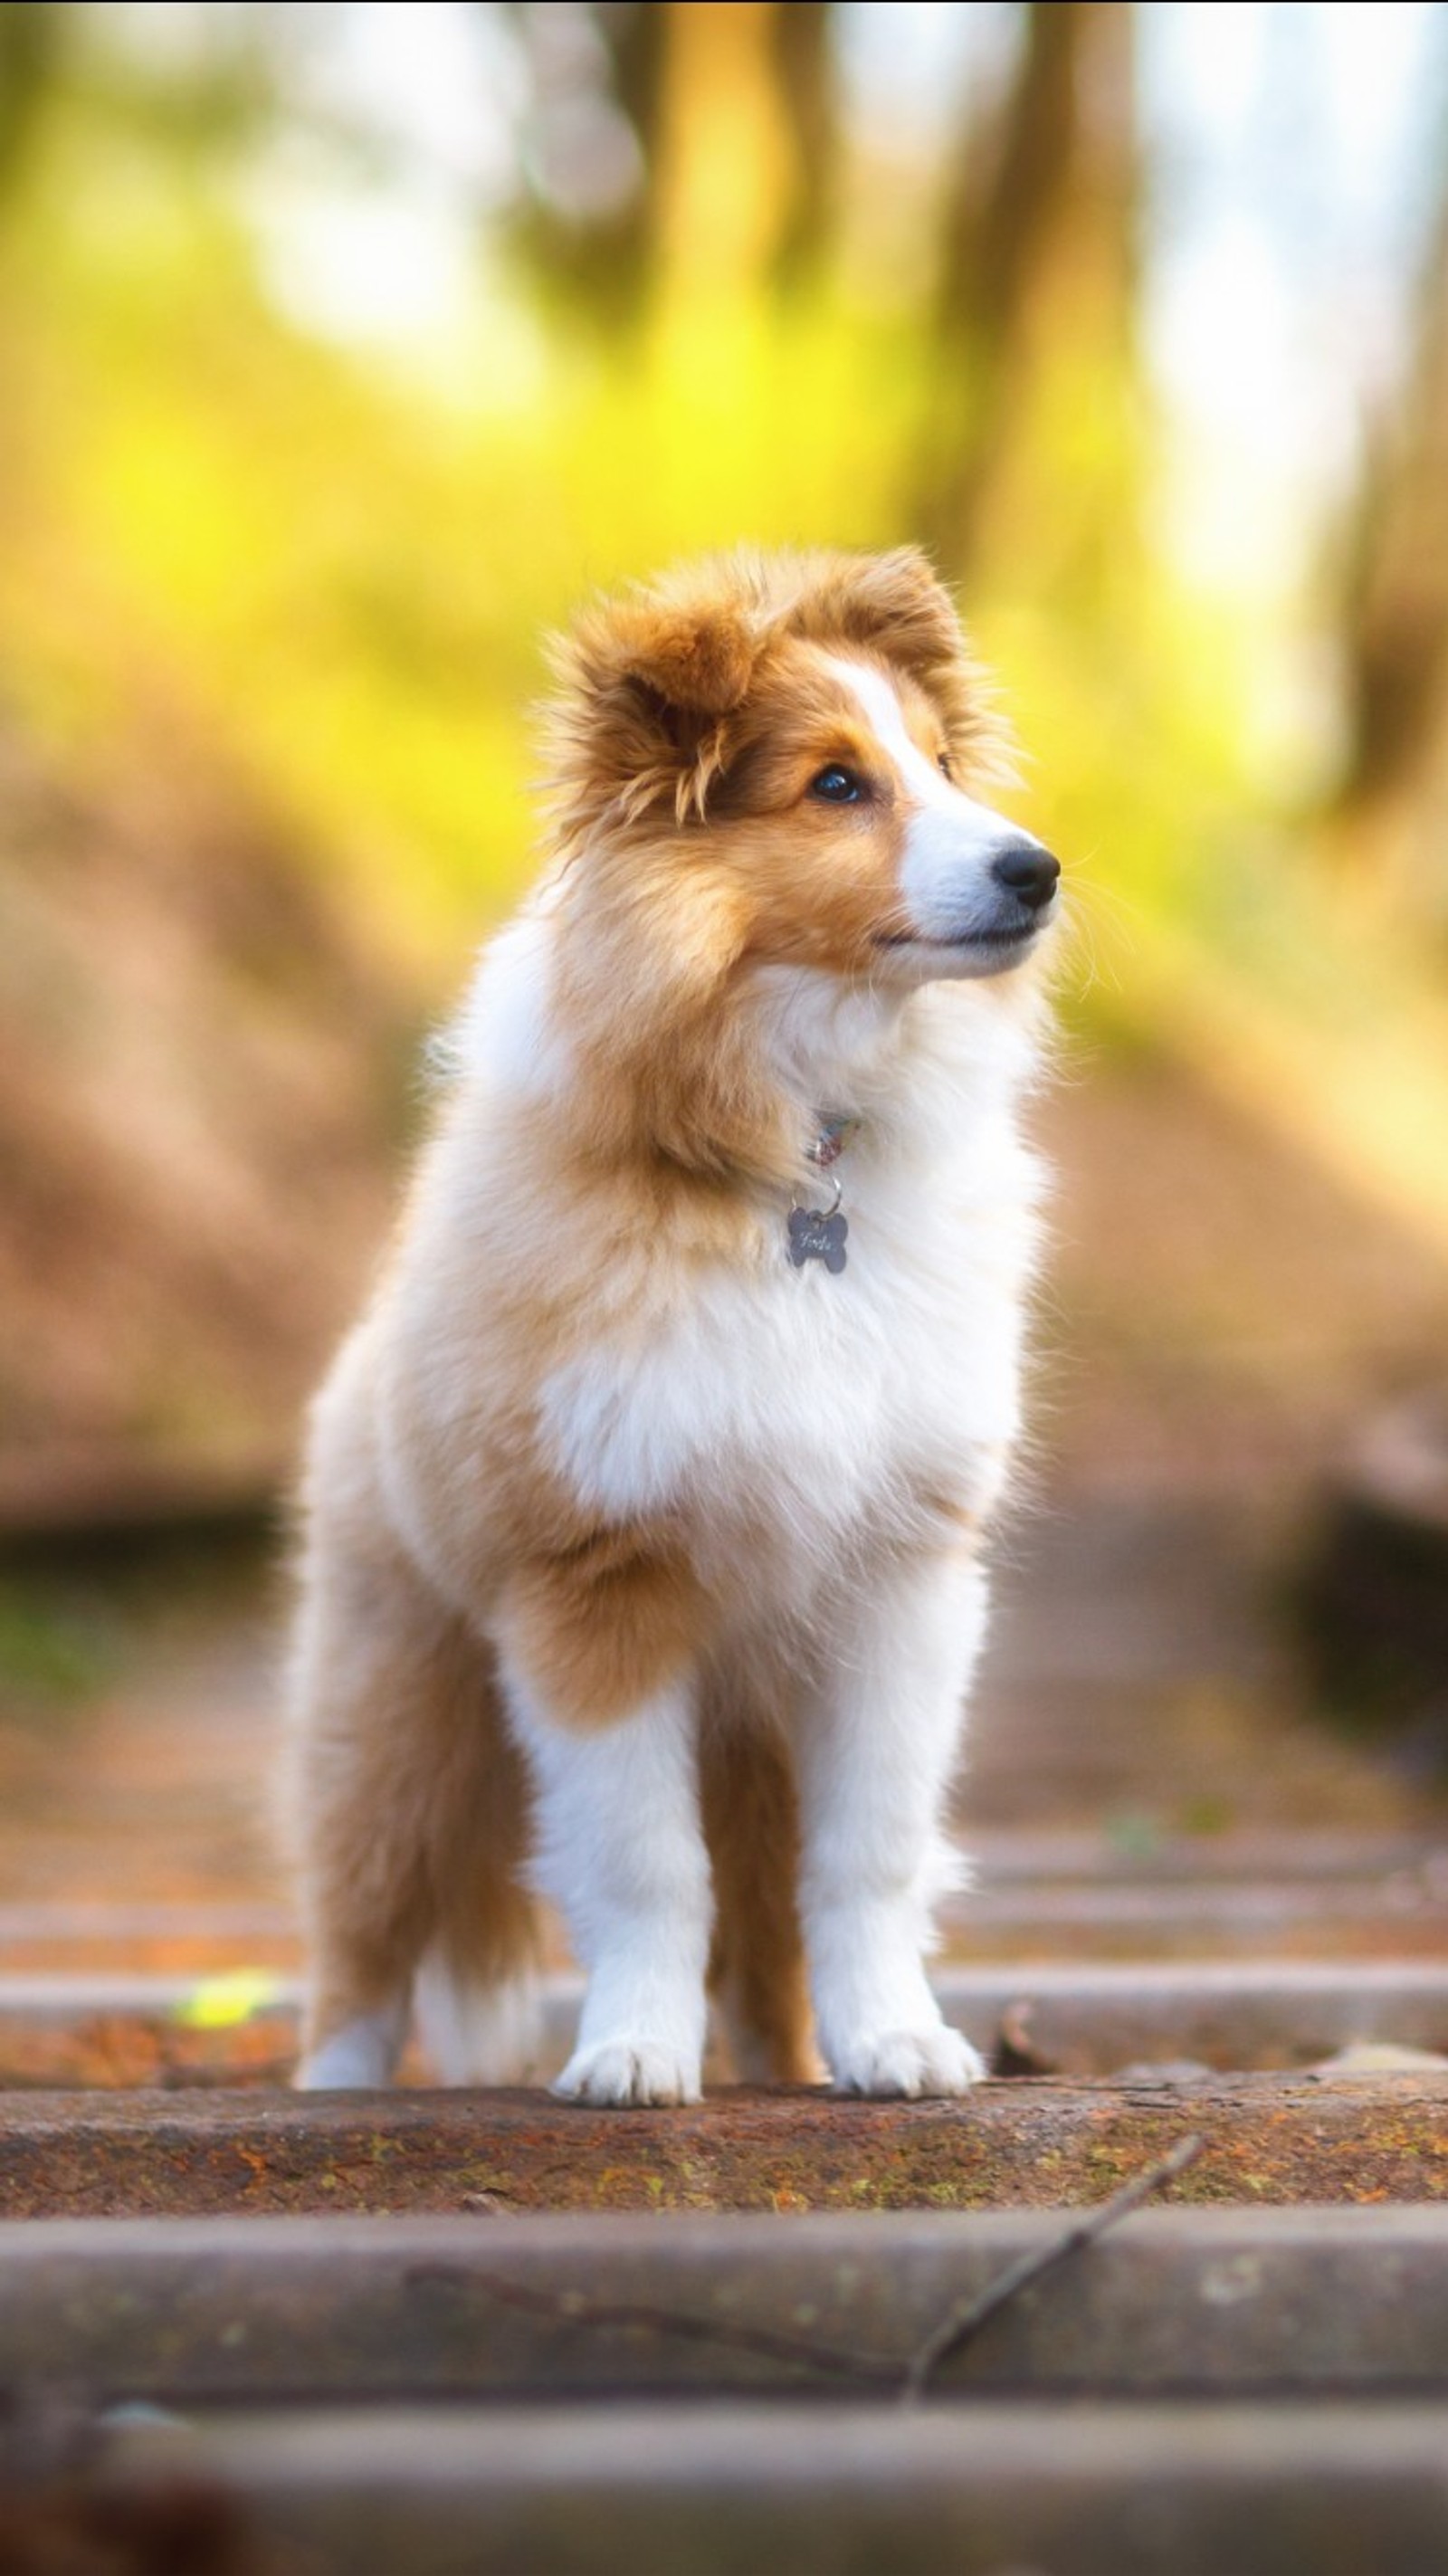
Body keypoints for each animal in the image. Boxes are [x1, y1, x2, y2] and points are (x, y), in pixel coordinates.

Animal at [284, 543, 1045, 2091]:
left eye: (942, 763)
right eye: (835, 783)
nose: (1038, 871)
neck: (794, 1170)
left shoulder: (897, 1584)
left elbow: (869, 1857)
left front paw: (900, 2039)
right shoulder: (597, 1584)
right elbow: (642, 1865)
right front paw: (632, 2054)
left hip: (749, 1748)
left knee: (766, 1950)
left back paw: (803, 2063)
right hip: (396, 1716)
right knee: (360, 1936)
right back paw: (328, 2091)